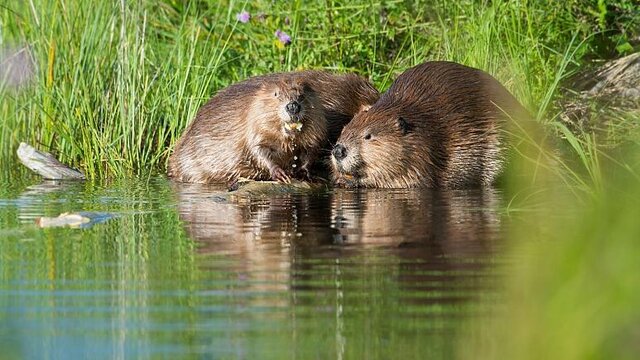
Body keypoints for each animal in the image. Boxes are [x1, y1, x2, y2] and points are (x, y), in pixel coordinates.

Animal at [330, 60, 528, 188]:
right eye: (343, 130)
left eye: (368, 136)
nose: (338, 150)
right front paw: (340, 178)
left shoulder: (423, 153)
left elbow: (408, 179)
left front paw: (348, 181)